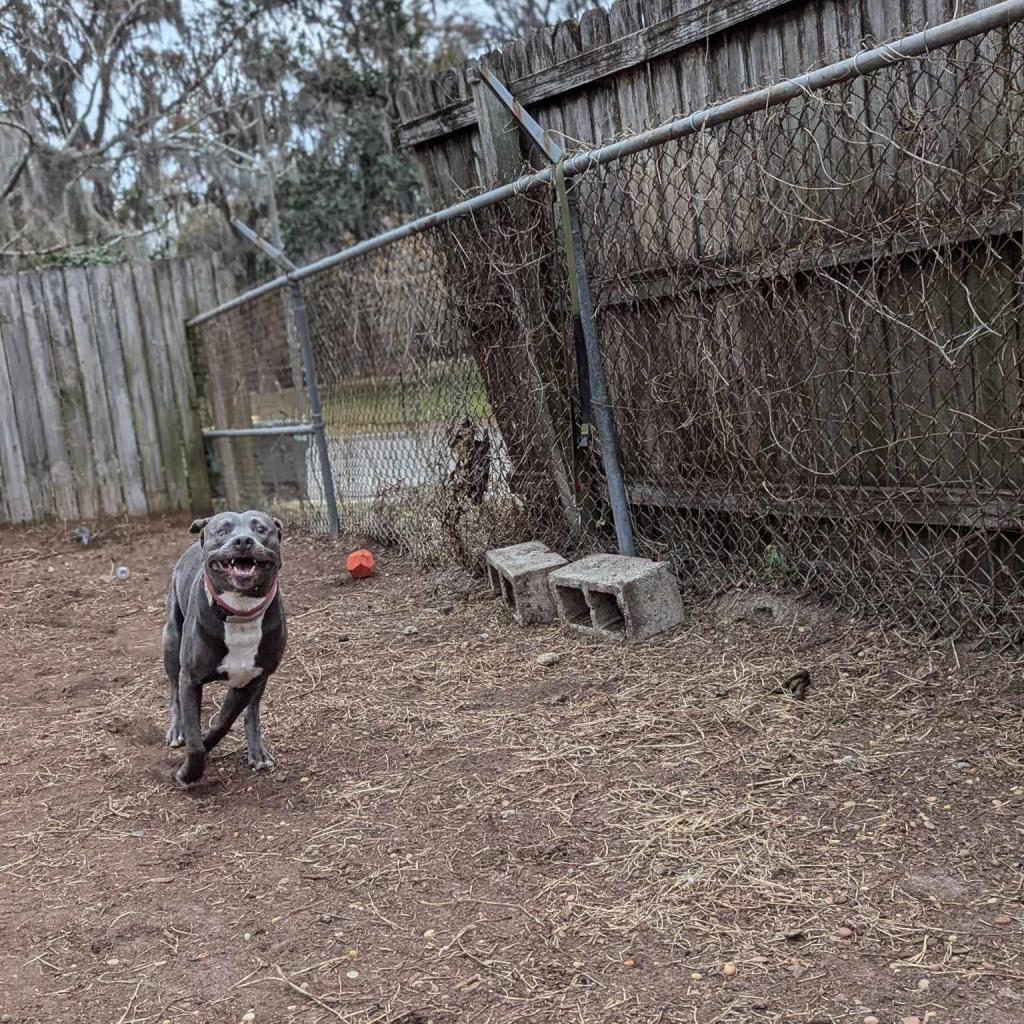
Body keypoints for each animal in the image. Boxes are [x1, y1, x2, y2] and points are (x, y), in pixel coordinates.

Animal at [161, 509, 286, 782]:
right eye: (222, 531)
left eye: (261, 529)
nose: (243, 541)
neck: (240, 612)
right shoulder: (190, 679)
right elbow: (194, 740)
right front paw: (188, 773)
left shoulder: (250, 679)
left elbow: (223, 722)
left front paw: (207, 745)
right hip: (171, 644)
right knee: (174, 692)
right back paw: (177, 730)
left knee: (252, 712)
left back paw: (257, 752)